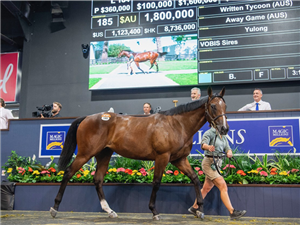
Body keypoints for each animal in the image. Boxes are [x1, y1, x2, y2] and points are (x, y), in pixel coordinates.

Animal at [49, 87, 227, 220]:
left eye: (224, 106)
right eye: (213, 106)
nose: (224, 129)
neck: (177, 125)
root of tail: (87, 117)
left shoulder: (179, 160)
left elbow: (195, 178)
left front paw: (199, 210)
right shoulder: (162, 157)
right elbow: (157, 182)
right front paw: (154, 211)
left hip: (104, 154)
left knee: (98, 180)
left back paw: (109, 211)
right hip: (85, 154)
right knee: (68, 173)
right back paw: (54, 208)